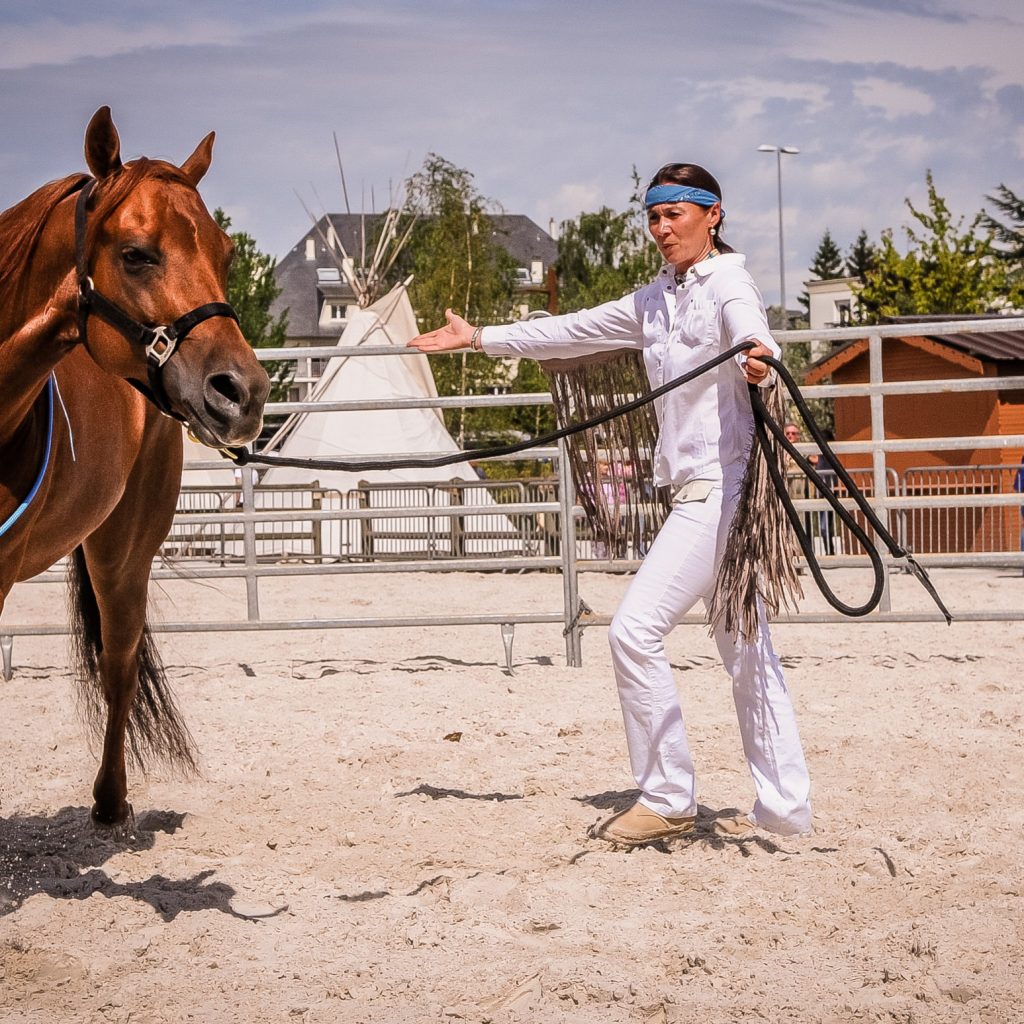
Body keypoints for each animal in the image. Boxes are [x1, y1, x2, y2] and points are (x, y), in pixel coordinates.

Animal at [0, 105, 270, 823]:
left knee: (118, 663)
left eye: (226, 254)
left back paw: (111, 801)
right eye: (136, 253)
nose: (244, 392)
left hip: (121, 555)